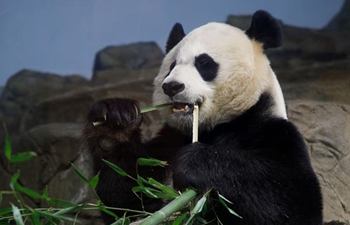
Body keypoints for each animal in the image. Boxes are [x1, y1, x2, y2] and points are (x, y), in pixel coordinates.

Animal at [84, 9, 322, 224]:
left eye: (204, 63)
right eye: (171, 66)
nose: (172, 86)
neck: (213, 127)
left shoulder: (270, 131)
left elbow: (293, 201)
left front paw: (194, 162)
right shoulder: (167, 144)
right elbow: (130, 200)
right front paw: (114, 123)